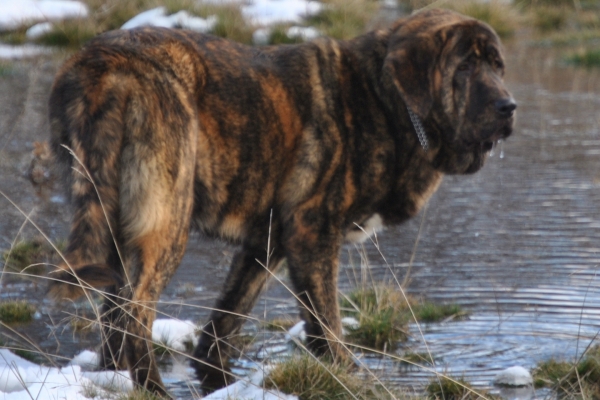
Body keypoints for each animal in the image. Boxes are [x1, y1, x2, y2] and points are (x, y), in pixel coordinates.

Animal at [48, 8, 516, 394]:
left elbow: (224, 324)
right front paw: (352, 377)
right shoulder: (313, 234)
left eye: (497, 65)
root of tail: (105, 65)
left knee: (114, 319)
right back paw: (154, 390)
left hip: (113, 227)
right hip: (166, 227)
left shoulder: (267, 243)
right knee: (132, 319)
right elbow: (327, 327)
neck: (387, 102)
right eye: (464, 66)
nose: (508, 106)